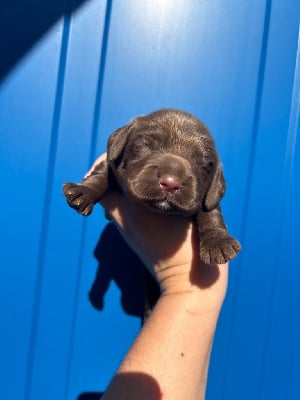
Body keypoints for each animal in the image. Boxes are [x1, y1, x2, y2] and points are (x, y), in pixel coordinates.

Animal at [63, 108, 241, 266]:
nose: (171, 183)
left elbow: (209, 209)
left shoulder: (208, 195)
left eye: (203, 165)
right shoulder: (112, 164)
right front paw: (84, 191)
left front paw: (218, 240)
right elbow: (101, 175)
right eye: (146, 145)